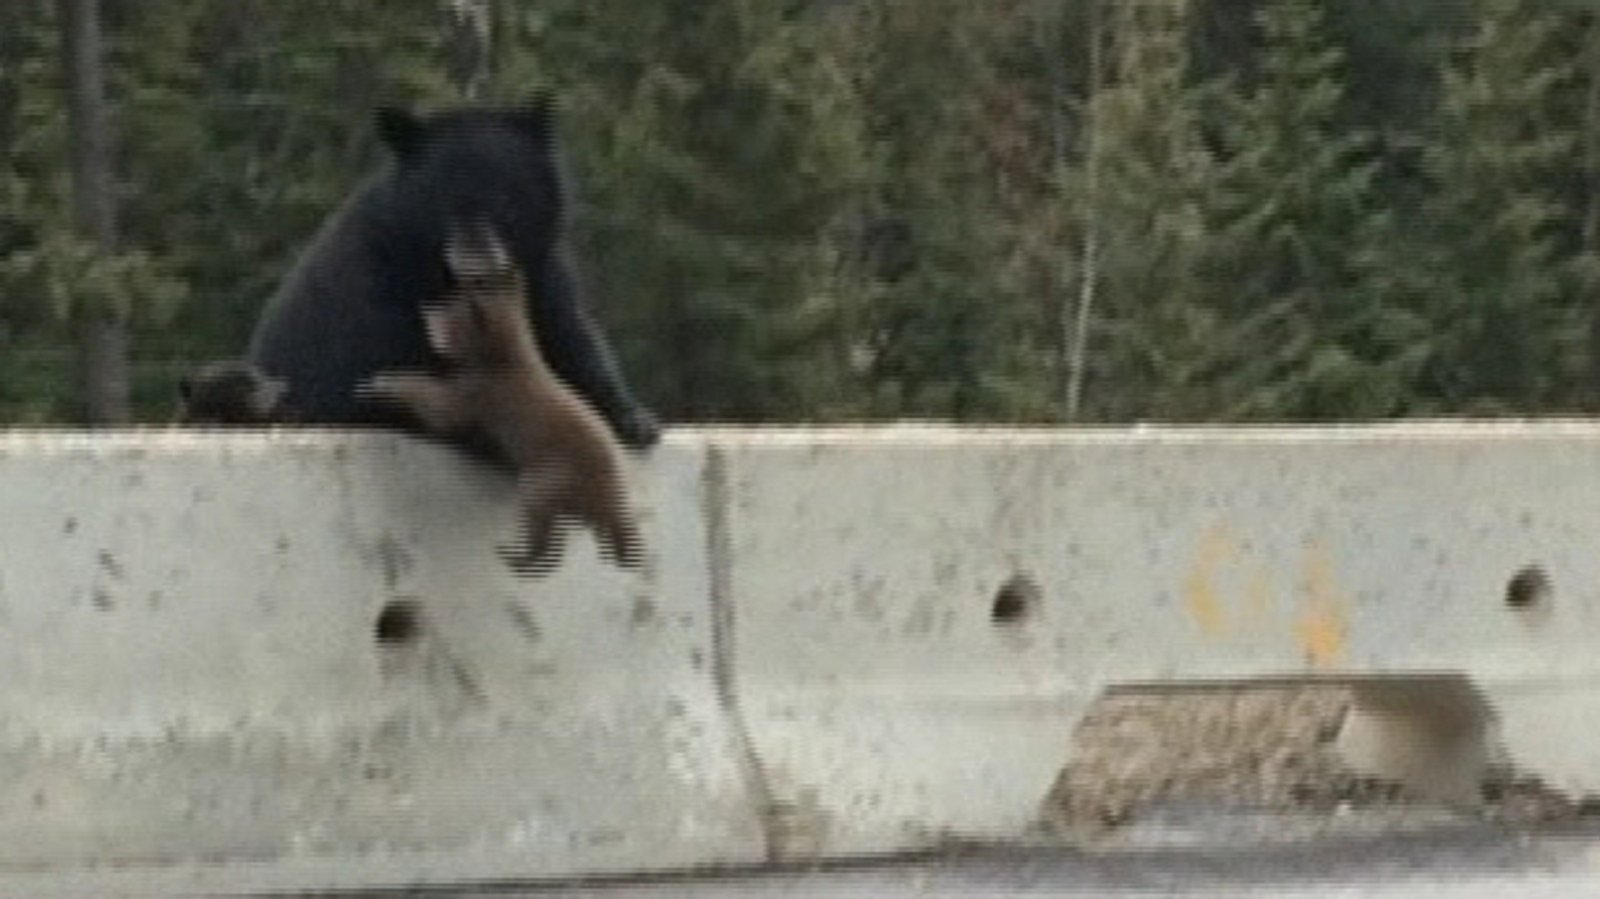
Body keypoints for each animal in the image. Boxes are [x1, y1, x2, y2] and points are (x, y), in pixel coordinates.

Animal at [242, 94, 658, 466]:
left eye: (505, 195)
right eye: (443, 200)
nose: (476, 258)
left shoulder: (540, 272)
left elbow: (570, 337)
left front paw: (635, 421)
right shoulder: (374, 290)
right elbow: (386, 374)